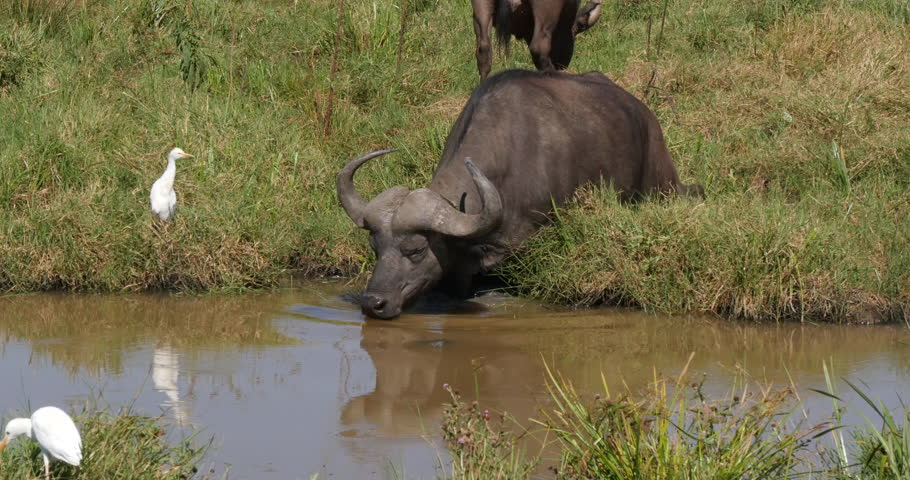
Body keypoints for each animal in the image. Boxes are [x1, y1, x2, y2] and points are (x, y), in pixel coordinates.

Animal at [472, 0, 604, 80]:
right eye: (574, 34)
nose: (562, 66)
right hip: (546, 10)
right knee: (538, 48)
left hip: (482, 8)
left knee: (483, 50)